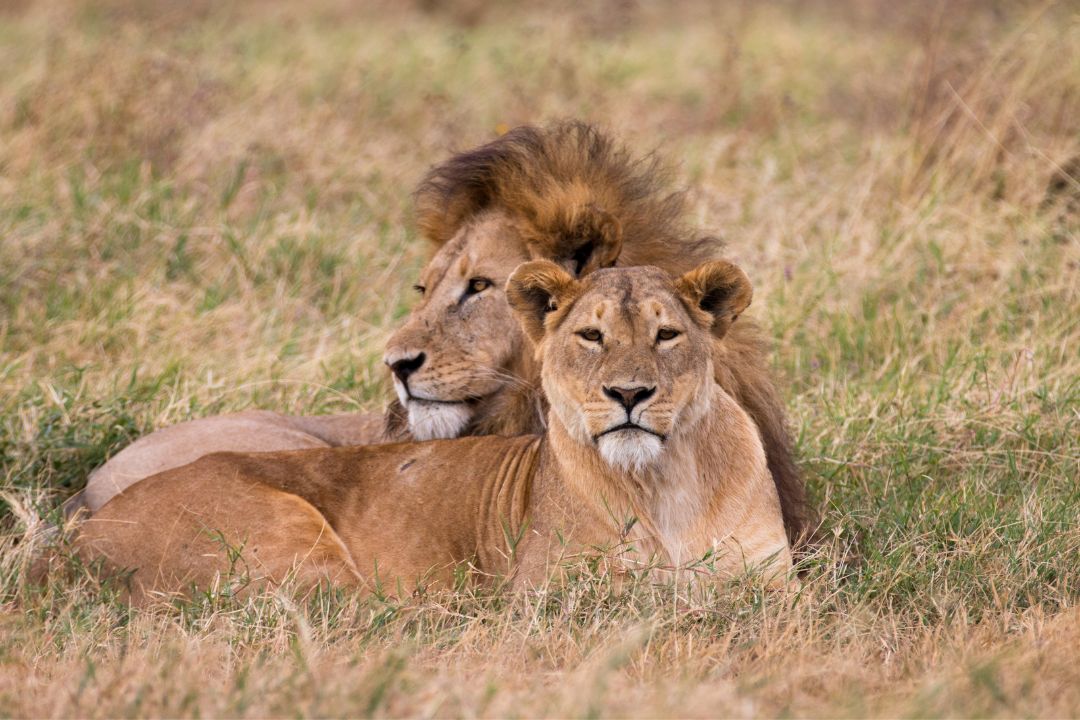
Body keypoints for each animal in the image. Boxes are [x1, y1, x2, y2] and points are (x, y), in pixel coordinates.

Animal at [73, 259, 786, 604]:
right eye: (591, 336)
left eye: (667, 335)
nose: (630, 394)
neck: (667, 480)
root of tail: (82, 533)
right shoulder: (552, 596)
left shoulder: (775, 582)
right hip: (287, 544)